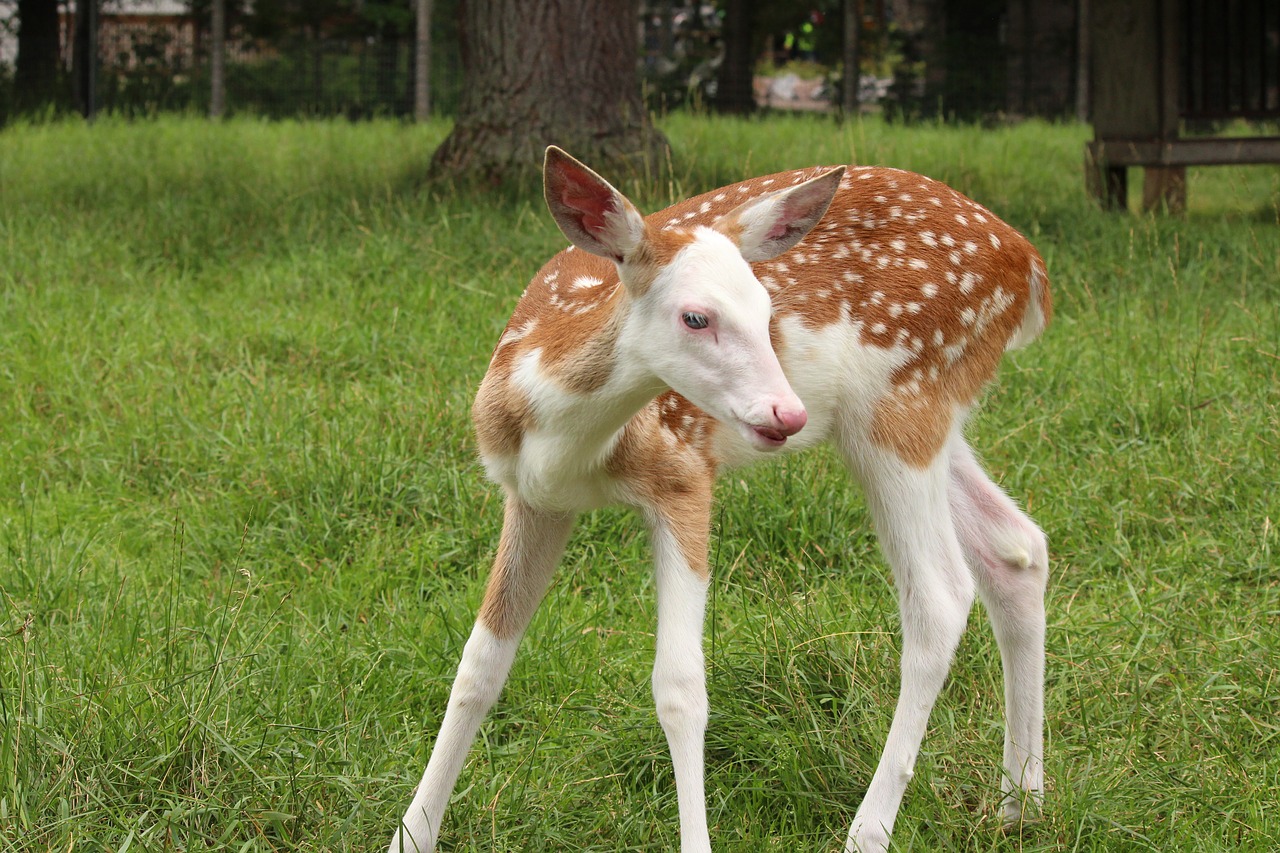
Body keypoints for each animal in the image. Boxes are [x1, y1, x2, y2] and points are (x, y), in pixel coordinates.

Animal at [386, 147, 1049, 850]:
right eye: (695, 316)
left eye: (765, 308)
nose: (787, 413)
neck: (564, 441)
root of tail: (1030, 266)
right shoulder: (534, 498)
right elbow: (479, 664)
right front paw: (411, 834)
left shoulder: (683, 476)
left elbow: (680, 687)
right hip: (917, 416)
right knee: (1016, 546)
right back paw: (1020, 802)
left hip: (902, 401)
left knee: (942, 595)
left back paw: (869, 832)